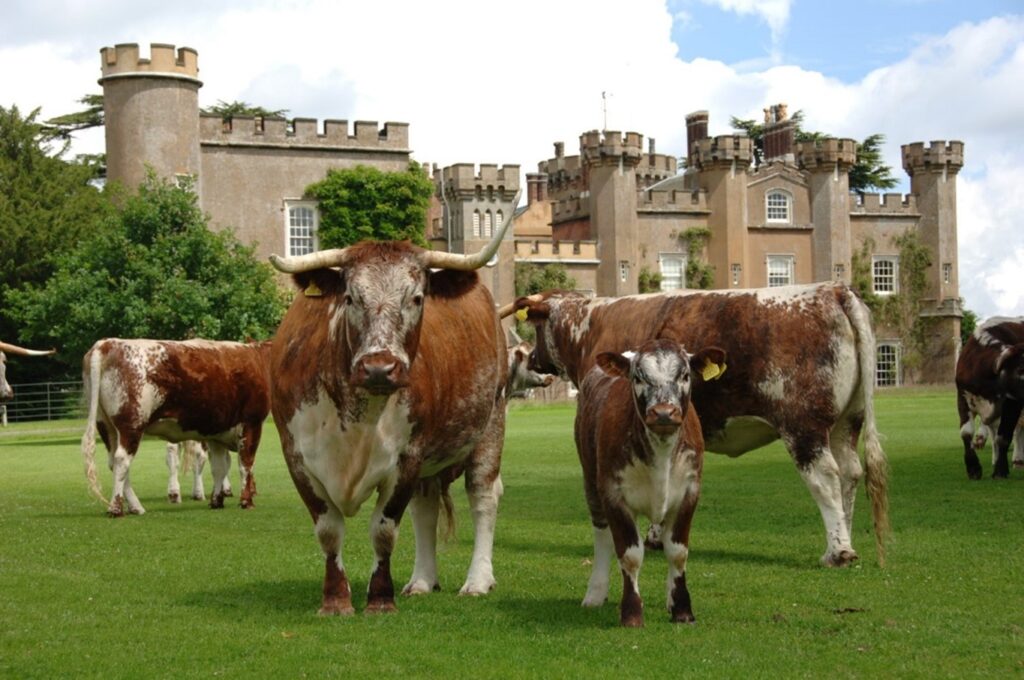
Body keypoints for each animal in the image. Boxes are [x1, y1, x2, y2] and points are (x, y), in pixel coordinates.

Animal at [80, 338, 273, 516]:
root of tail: (107, 343)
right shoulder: (251, 423)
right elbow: (246, 463)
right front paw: (246, 501)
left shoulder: (216, 433)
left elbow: (219, 467)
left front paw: (217, 501)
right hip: (131, 424)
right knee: (122, 460)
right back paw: (116, 508)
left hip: (106, 425)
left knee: (114, 462)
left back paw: (136, 507)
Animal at [268, 228, 510, 616]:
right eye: (350, 297)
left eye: (417, 298)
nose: (379, 368)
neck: (359, 417)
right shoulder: (297, 459)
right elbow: (329, 530)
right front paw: (335, 601)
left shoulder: (406, 458)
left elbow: (383, 530)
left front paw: (380, 599)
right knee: (426, 507)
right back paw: (423, 581)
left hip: (491, 424)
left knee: (483, 497)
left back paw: (477, 581)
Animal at [512, 282, 890, 567]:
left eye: (537, 327)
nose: (532, 358)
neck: (590, 325)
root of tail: (834, 290)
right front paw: (656, 536)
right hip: (846, 421)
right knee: (850, 472)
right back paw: (846, 538)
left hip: (804, 426)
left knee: (825, 478)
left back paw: (838, 551)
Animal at [576, 339, 725, 627]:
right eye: (638, 377)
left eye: (685, 375)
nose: (664, 413)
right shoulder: (613, 494)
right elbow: (630, 555)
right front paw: (632, 612)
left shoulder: (690, 492)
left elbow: (677, 552)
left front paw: (681, 608)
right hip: (590, 480)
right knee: (602, 535)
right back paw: (596, 592)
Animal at [956, 317, 1024, 479]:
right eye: (1020, 369)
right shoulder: (963, 397)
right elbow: (966, 432)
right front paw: (973, 468)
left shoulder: (1012, 404)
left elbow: (1003, 437)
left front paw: (1000, 470)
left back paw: (1018, 459)